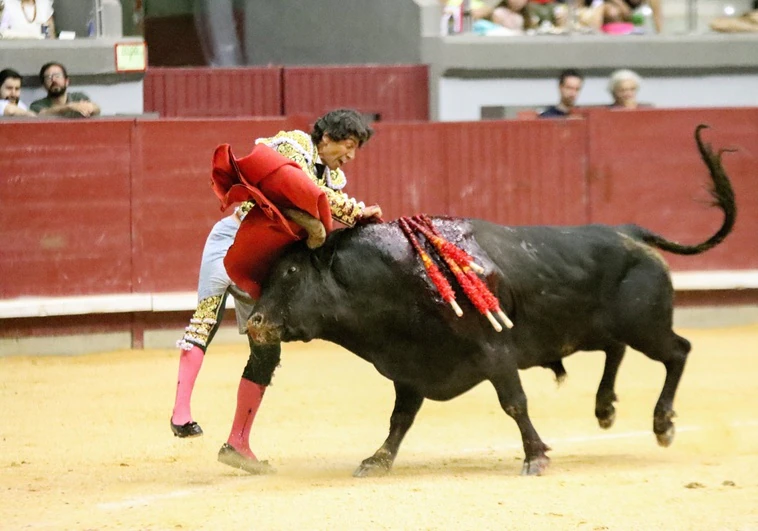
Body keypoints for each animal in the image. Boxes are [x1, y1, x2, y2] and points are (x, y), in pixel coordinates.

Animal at [248, 125, 736, 478]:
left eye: (290, 272)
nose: (254, 322)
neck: (394, 279)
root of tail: (628, 231)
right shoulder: (410, 367)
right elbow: (399, 419)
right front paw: (378, 460)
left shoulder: (496, 353)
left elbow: (514, 402)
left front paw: (536, 456)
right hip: (596, 327)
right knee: (616, 350)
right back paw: (604, 409)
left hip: (646, 326)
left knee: (677, 352)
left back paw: (662, 424)